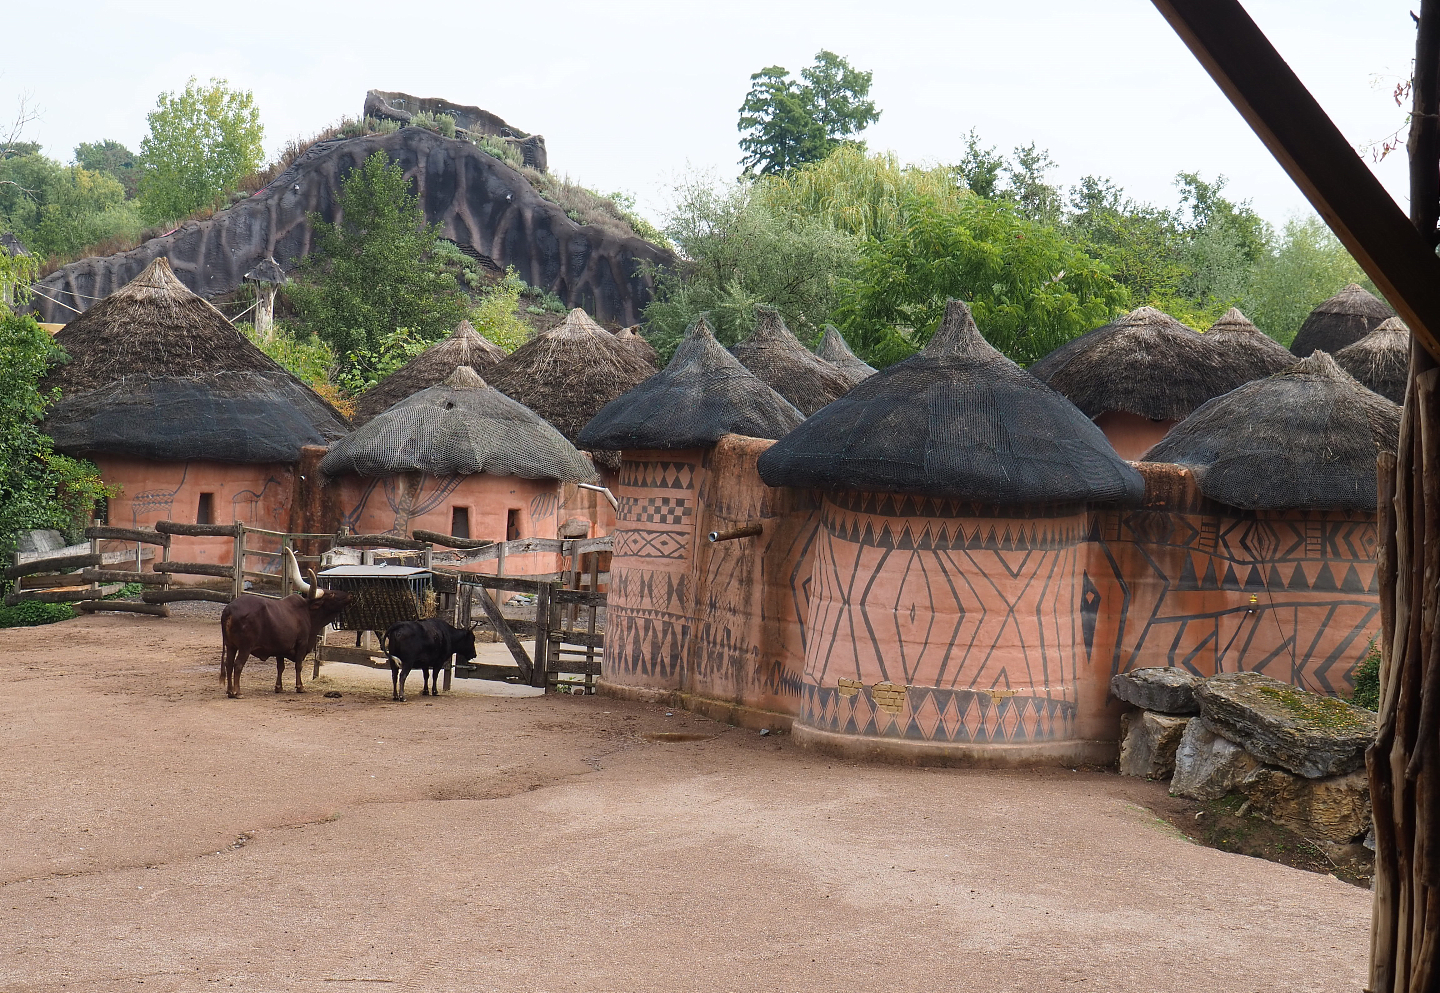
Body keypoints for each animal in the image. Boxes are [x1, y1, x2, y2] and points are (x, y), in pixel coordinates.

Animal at [219, 548, 353, 698]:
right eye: (331, 595)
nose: (349, 594)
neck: (307, 612)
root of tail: (229, 609)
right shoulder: (301, 643)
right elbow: (298, 665)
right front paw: (300, 687)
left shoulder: (280, 648)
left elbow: (280, 667)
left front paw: (279, 687)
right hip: (245, 647)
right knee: (238, 665)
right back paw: (238, 692)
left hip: (230, 645)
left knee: (228, 664)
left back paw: (230, 691)